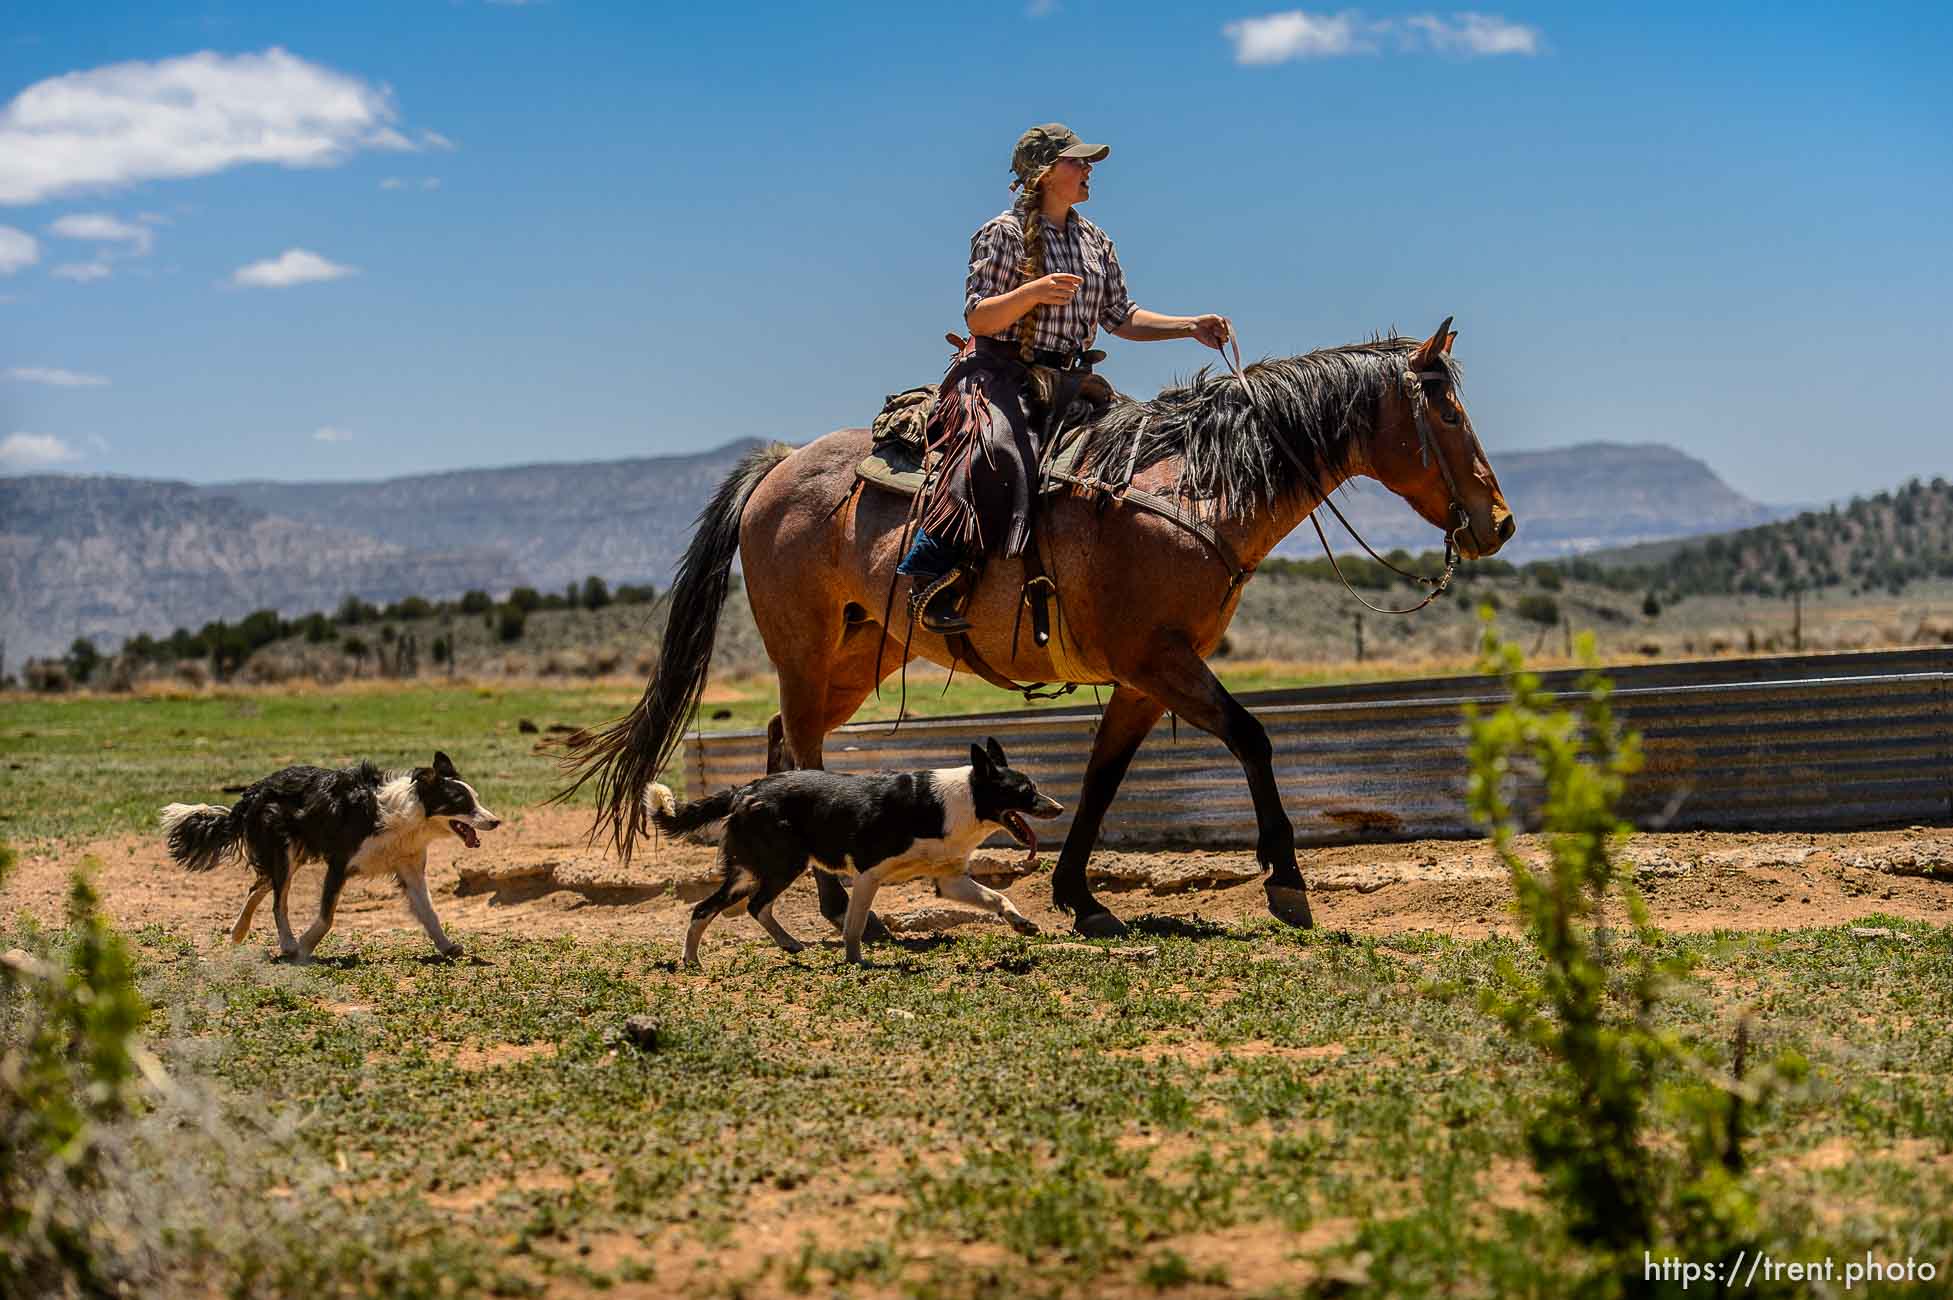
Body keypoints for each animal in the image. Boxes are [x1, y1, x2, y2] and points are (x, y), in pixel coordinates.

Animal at [558, 320, 1515, 936]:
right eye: (1447, 414)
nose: (1498, 523)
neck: (1188, 493)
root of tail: (778, 466)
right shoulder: (1161, 659)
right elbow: (1252, 737)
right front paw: (1284, 880)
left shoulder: (1142, 676)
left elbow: (1100, 778)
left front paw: (1078, 896)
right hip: (804, 645)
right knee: (797, 739)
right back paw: (835, 907)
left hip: (858, 654)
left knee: (780, 735)